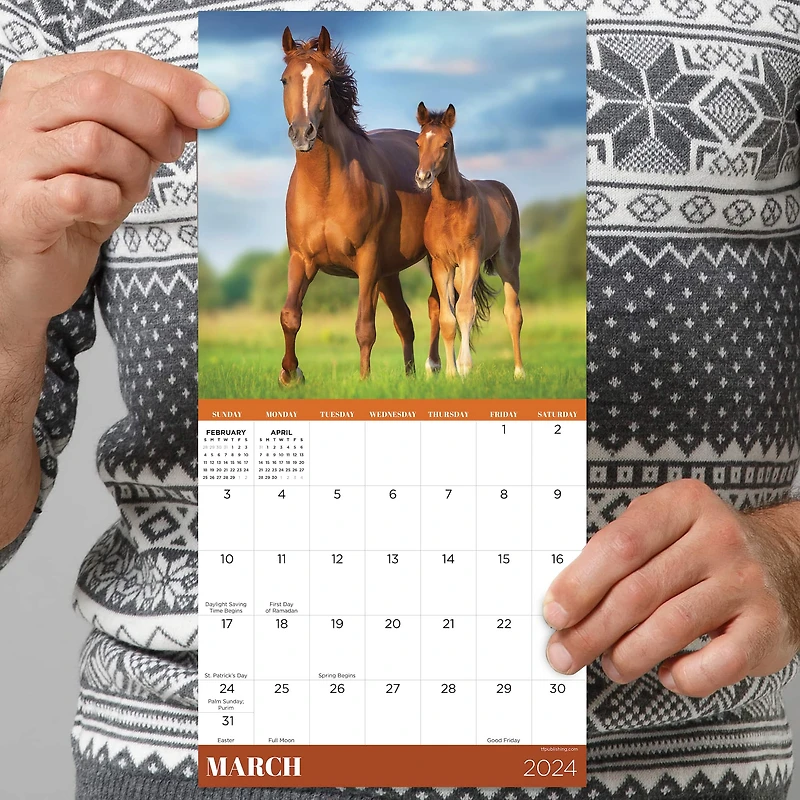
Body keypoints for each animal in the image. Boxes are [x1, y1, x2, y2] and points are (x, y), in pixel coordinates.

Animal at [279, 26, 435, 384]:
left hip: (431, 262)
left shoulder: (367, 261)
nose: (303, 133)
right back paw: (410, 377)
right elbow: (290, 316)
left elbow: (365, 327)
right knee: (405, 322)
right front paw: (290, 375)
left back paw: (440, 368)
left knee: (442, 308)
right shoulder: (301, 259)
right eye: (285, 80)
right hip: (389, 273)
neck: (324, 188)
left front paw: (364, 380)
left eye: (326, 81)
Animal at [415, 102, 525, 379]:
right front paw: (451, 373)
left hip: (507, 263)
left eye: (445, 143)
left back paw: (520, 372)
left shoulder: (470, 258)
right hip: (462, 274)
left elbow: (465, 310)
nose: (423, 177)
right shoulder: (441, 265)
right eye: (418, 142)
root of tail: (502, 189)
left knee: (513, 313)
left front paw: (464, 367)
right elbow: (447, 317)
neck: (449, 208)